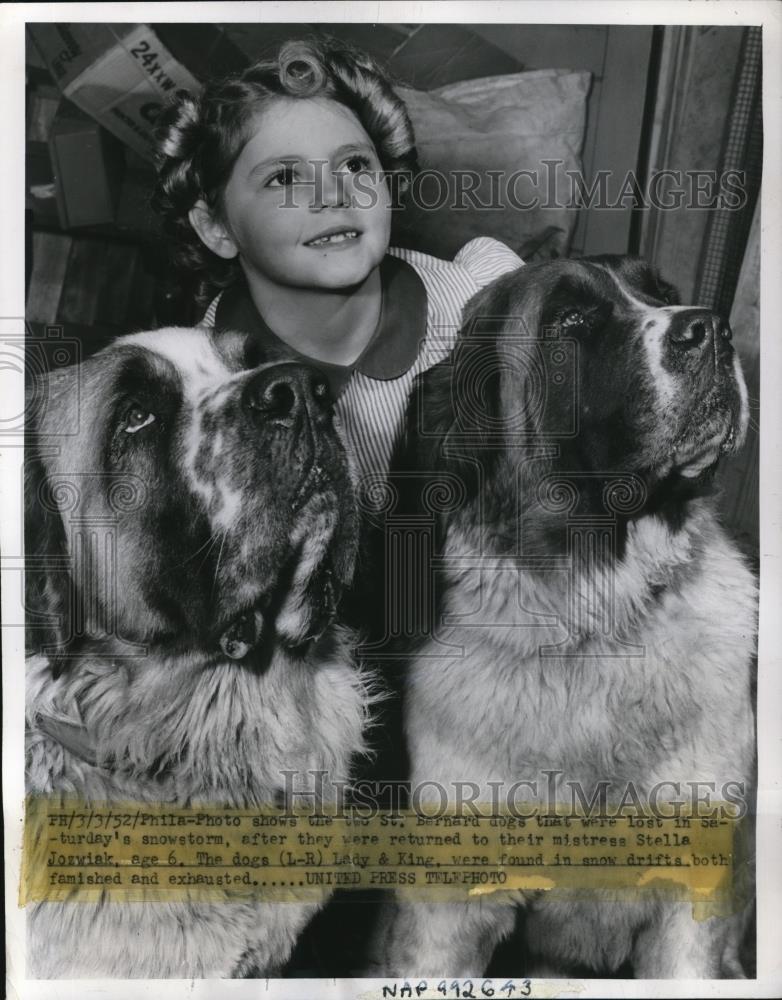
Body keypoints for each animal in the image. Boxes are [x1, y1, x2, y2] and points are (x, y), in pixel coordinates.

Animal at [376, 256, 756, 976]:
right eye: (571, 320)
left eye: (661, 292)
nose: (715, 330)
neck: (596, 622)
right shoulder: (447, 919)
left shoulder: (687, 906)